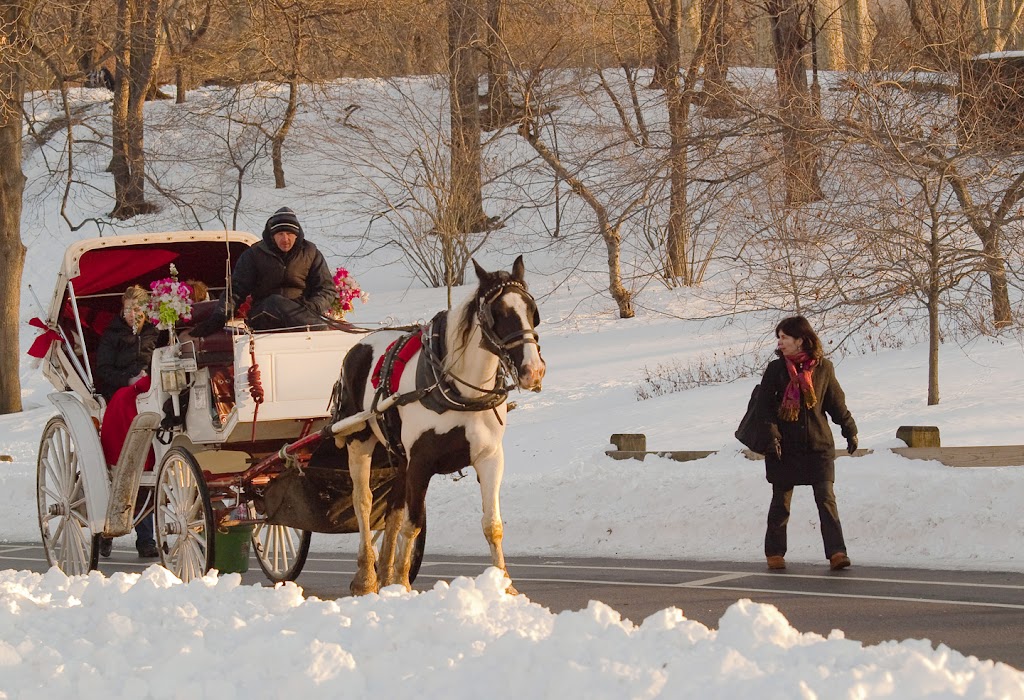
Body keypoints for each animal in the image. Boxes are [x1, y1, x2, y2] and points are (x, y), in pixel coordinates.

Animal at [333, 256, 544, 597]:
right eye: (498, 313)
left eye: (531, 310)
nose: (533, 370)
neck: (461, 391)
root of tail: (359, 345)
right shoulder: (421, 460)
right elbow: (414, 523)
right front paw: (402, 582)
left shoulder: (489, 457)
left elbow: (492, 524)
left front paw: (505, 585)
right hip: (358, 441)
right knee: (363, 503)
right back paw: (367, 577)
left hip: (399, 457)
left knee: (392, 510)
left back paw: (385, 573)